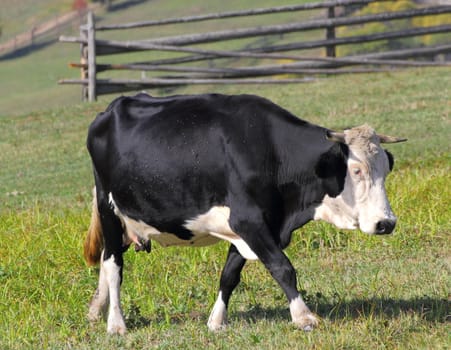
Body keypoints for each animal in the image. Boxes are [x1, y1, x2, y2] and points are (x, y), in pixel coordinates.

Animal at [84, 92, 406, 334]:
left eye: (386, 168)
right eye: (356, 170)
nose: (386, 223)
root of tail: (109, 110)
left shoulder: (252, 227)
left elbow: (229, 275)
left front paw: (216, 321)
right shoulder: (248, 221)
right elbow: (282, 267)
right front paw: (303, 316)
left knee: (106, 262)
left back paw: (95, 310)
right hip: (109, 209)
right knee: (113, 266)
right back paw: (116, 323)